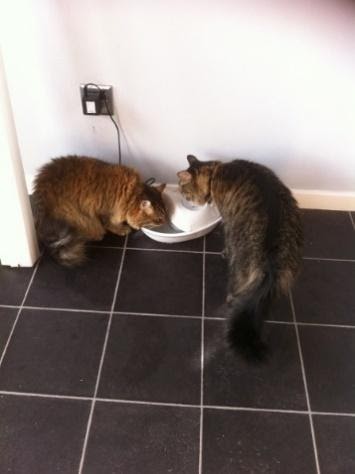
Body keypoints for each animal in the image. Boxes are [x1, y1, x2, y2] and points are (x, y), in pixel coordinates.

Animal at [33, 156, 167, 264]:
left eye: (166, 215)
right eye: (158, 220)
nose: (166, 223)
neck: (130, 195)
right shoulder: (103, 209)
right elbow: (109, 223)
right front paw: (121, 229)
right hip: (75, 215)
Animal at [178, 156, 304, 362]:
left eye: (184, 192)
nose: (183, 198)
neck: (215, 172)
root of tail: (271, 258)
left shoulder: (227, 220)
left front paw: (224, 251)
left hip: (239, 266)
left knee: (235, 292)